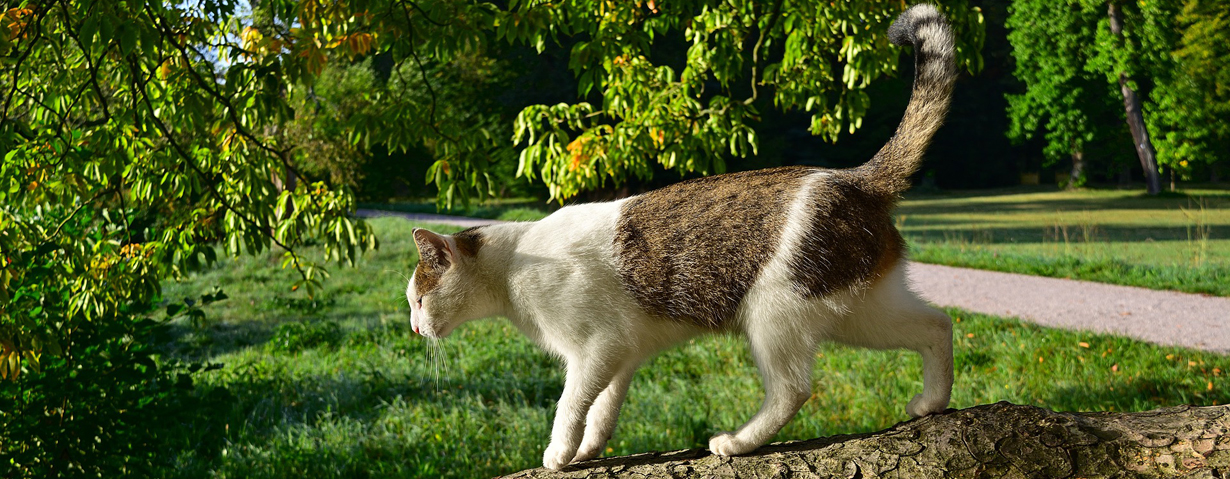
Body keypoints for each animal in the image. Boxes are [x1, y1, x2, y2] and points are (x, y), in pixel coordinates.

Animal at [408, 4, 954, 470]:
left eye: (416, 298)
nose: (414, 328)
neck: (514, 264)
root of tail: (852, 179)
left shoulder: (594, 349)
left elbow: (569, 405)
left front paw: (559, 454)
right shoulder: (621, 354)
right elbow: (602, 411)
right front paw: (587, 451)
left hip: (776, 314)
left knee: (792, 389)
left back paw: (737, 442)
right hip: (859, 310)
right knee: (938, 324)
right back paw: (933, 401)